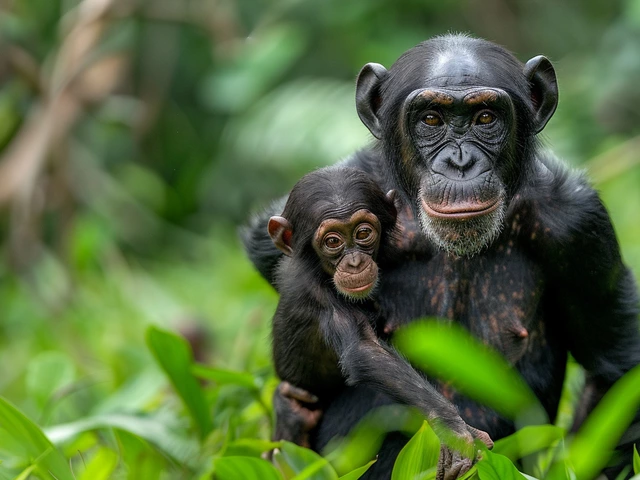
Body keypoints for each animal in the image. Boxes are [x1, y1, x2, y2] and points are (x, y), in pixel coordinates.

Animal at [268, 166, 492, 476]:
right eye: (333, 241)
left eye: (363, 233)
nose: (354, 262)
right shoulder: (315, 293)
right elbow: (364, 351)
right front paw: (454, 428)